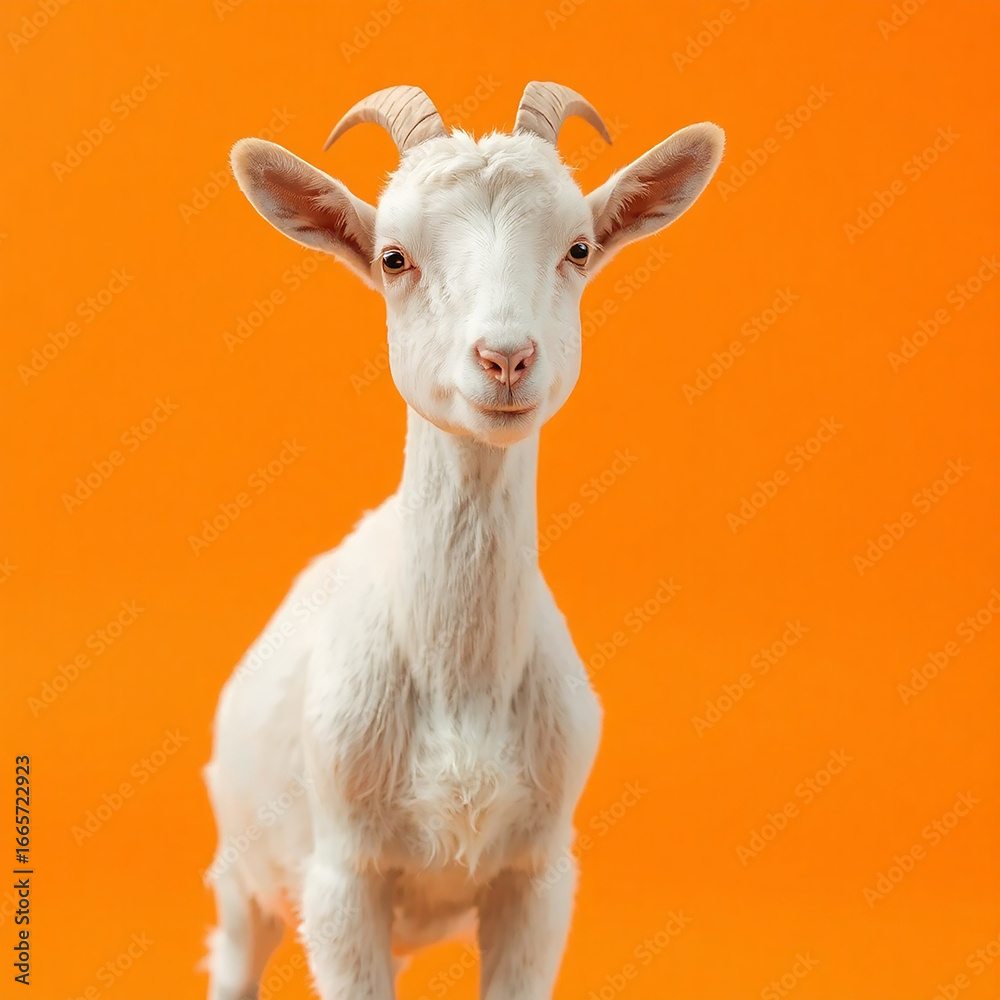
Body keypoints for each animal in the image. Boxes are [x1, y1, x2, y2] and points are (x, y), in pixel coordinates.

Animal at [204, 82, 723, 1000]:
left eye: (578, 248)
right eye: (393, 258)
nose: (506, 358)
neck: (460, 685)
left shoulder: (538, 874)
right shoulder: (341, 880)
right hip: (242, 871)